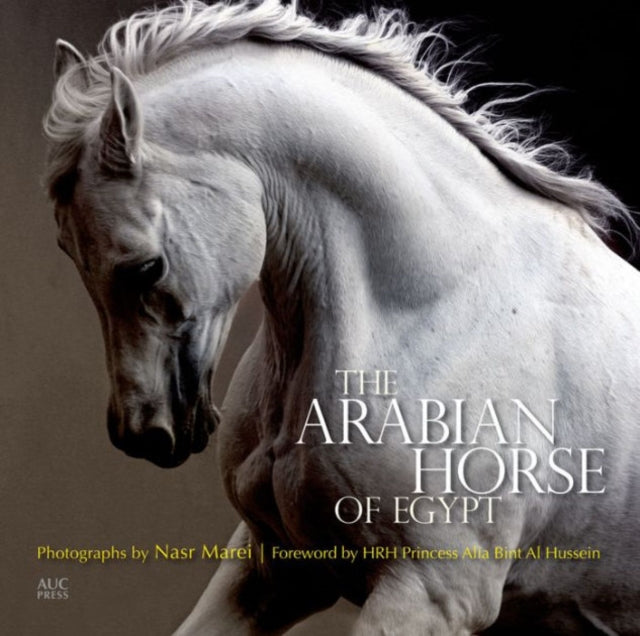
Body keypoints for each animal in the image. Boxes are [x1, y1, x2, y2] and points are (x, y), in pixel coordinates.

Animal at [44, 1, 640, 634]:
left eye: (146, 266)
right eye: (68, 253)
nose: (143, 432)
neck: (435, 305)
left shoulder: (433, 592)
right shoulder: (274, 569)